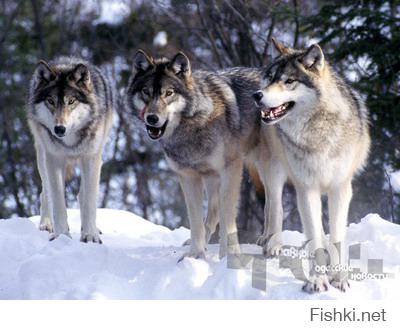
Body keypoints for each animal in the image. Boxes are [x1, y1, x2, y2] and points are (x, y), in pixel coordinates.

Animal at [27, 56, 113, 242]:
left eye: (71, 101)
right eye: (50, 101)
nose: (59, 129)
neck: (70, 142)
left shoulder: (91, 158)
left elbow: (89, 201)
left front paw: (90, 236)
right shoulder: (54, 160)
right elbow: (58, 202)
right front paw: (61, 236)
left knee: (83, 194)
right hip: (42, 156)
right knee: (45, 192)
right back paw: (47, 224)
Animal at [255, 39, 370, 294]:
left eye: (289, 81)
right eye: (270, 78)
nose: (257, 95)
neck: (317, 132)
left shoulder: (340, 189)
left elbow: (336, 236)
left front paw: (339, 278)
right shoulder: (307, 189)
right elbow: (314, 239)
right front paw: (318, 280)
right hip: (274, 170)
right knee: (274, 206)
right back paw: (272, 243)